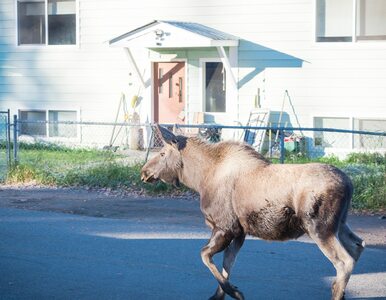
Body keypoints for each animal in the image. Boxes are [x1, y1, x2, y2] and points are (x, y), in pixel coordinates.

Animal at [141, 125, 364, 300]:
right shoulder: (239, 232)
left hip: (319, 227)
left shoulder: (225, 227)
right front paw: (220, 294)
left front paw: (234, 292)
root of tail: (349, 184)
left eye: (162, 153)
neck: (199, 179)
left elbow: (205, 255)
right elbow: (227, 264)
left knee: (344, 262)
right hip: (339, 223)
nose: (144, 172)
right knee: (357, 245)